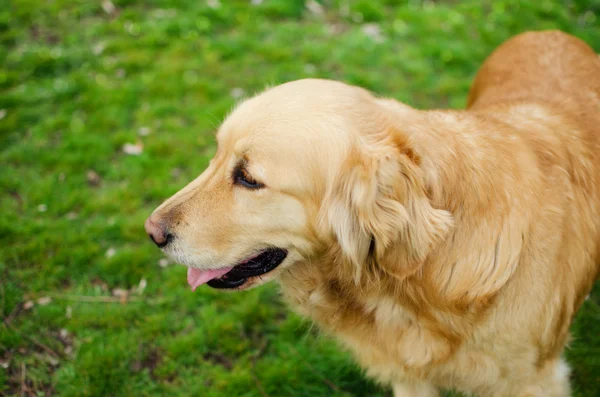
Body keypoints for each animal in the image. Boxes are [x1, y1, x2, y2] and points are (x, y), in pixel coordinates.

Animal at [146, 31, 600, 396]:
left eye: (249, 179)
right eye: (216, 156)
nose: (152, 232)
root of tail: (549, 31)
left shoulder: (535, 381)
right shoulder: (410, 377)